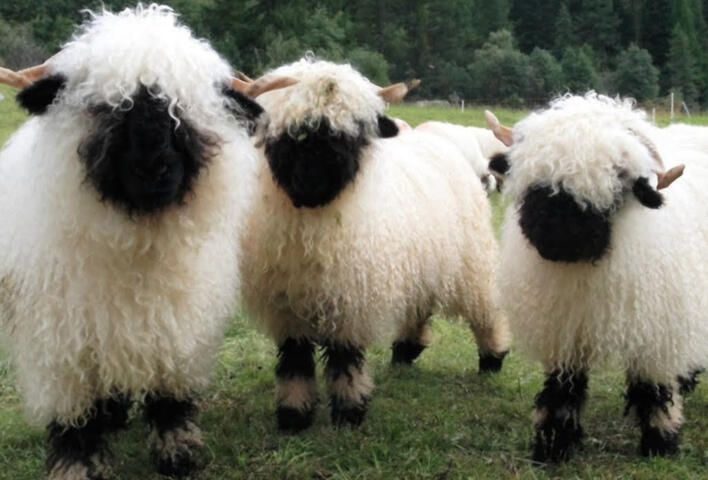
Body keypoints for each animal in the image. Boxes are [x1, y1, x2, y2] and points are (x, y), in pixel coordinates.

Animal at [0, 5, 293, 479]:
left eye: (185, 110)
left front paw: (178, 451)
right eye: (103, 107)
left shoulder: (175, 324)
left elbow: (169, 392)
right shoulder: (64, 342)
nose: (153, 169)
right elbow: (74, 415)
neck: (137, 242)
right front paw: (76, 463)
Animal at [239, 57, 510, 432]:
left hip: (471, 260)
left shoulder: (351, 299)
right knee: (419, 306)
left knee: (485, 310)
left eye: (352, 134)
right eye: (295, 132)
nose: (313, 181)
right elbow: (295, 361)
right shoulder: (286, 303)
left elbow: (345, 359)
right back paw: (405, 352)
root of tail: (437, 138)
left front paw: (349, 412)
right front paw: (294, 415)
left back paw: (492, 358)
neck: (313, 223)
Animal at [485, 93, 708, 462]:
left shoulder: (657, 328)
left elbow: (654, 387)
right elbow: (563, 387)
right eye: (537, 175)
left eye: (618, 178)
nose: (557, 236)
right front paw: (553, 444)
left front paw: (660, 442)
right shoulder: (565, 328)